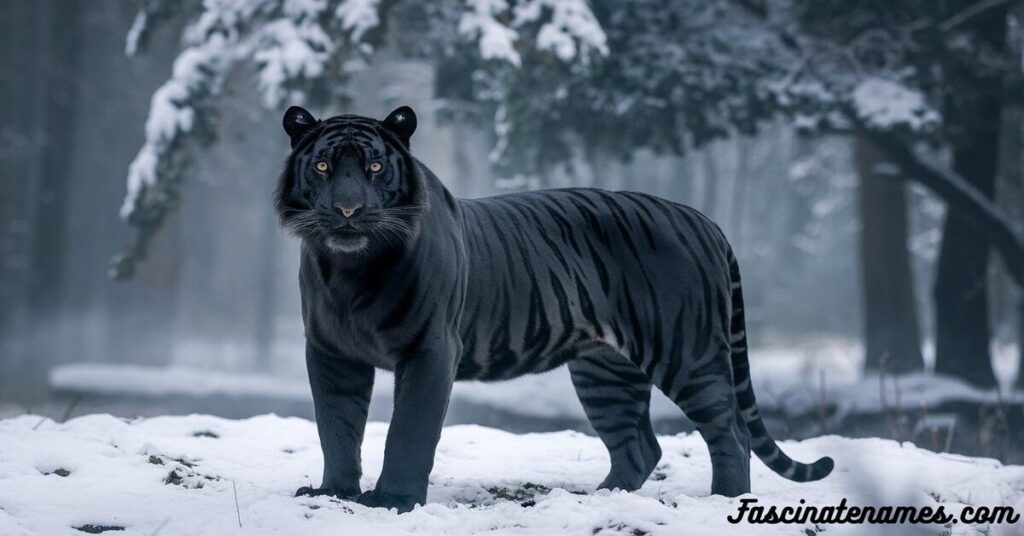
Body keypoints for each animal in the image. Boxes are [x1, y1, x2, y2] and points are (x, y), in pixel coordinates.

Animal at [274, 106, 831, 516]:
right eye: (322, 166)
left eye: (373, 167)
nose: (348, 210)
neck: (351, 266)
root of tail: (702, 219)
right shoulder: (330, 351)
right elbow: (336, 425)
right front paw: (335, 492)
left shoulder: (430, 348)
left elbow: (408, 431)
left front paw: (392, 500)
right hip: (605, 371)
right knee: (639, 445)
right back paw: (600, 498)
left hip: (685, 352)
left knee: (731, 432)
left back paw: (725, 501)